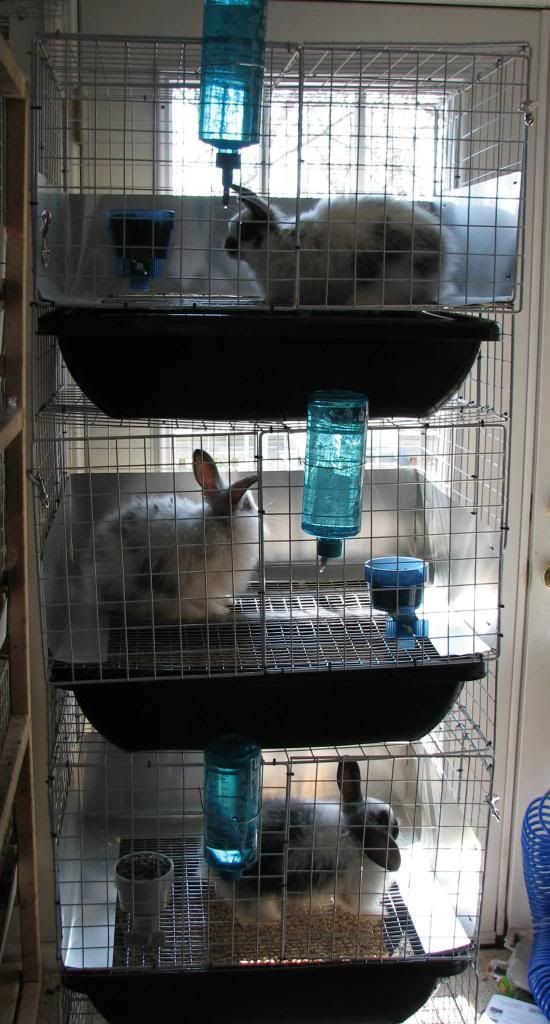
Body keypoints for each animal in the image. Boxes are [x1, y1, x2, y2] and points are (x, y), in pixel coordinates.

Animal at [91, 449, 260, 624]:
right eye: (247, 505)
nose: (260, 510)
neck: (220, 525)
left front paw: (228, 600)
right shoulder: (201, 580)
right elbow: (205, 601)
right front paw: (219, 611)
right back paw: (192, 613)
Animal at [206, 759, 401, 923]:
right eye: (384, 820)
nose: (398, 826)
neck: (353, 833)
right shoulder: (360, 890)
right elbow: (359, 907)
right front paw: (381, 913)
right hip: (251, 887)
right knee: (250, 909)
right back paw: (272, 919)